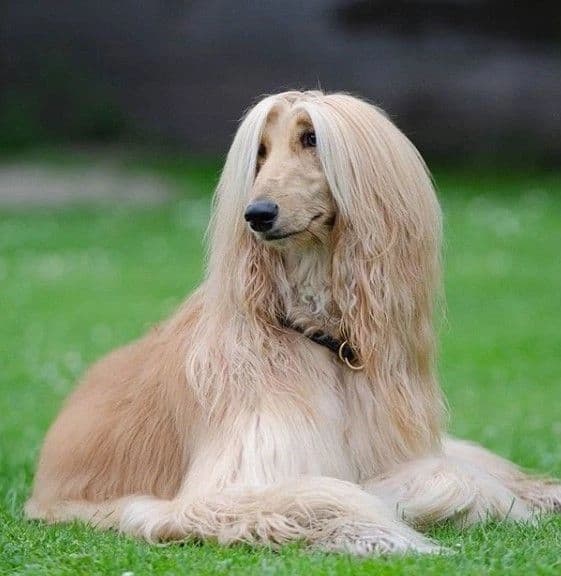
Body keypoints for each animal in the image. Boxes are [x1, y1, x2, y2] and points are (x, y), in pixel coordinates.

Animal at [27, 90, 560, 552]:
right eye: (258, 152)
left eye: (311, 139)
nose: (257, 214)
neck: (317, 331)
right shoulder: (223, 487)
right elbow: (335, 492)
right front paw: (395, 528)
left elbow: (449, 473)